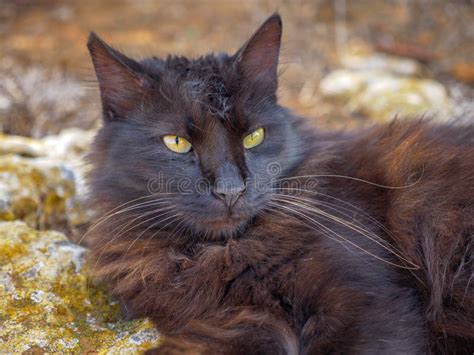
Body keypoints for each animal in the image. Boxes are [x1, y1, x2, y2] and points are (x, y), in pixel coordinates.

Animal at [86, 12, 474, 354]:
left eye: (254, 137)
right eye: (177, 143)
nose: (230, 189)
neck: (224, 254)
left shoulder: (369, 301)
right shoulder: (238, 321)